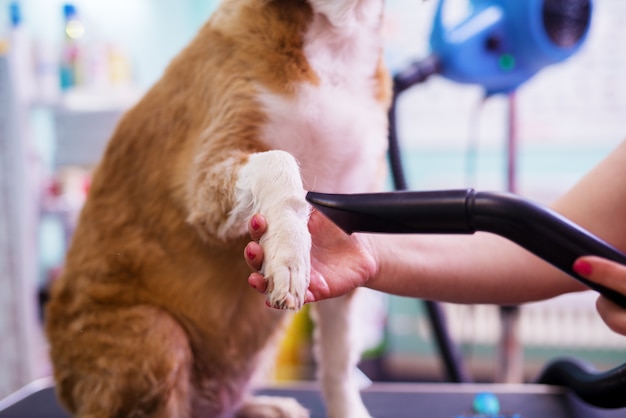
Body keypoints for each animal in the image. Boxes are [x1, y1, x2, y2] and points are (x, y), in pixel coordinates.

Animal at [46, 0, 390, 418]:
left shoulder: (349, 197)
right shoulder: (206, 177)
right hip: (158, 335)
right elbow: (279, 160)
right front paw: (289, 252)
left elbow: (338, 362)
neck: (335, 39)